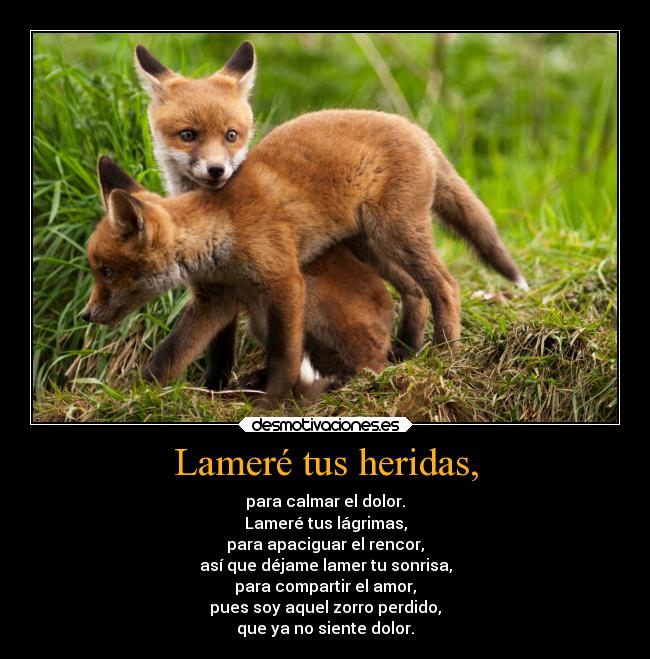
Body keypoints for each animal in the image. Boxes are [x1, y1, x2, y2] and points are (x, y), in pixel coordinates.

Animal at [84, 157, 394, 398]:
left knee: (368, 364)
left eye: (107, 271)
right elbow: (171, 352)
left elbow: (285, 351)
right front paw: (138, 390)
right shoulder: (215, 299)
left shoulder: (282, 280)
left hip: (306, 302)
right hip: (259, 318)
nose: (85, 315)